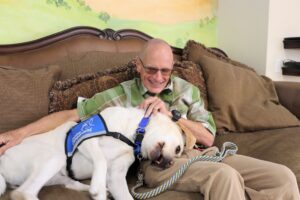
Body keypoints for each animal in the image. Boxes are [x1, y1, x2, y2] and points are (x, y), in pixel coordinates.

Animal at [0, 107, 185, 200]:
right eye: (178, 149)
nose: (169, 163)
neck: (133, 134)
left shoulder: (116, 177)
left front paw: (100, 190)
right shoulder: (84, 139)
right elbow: (101, 161)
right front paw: (97, 187)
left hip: (57, 174)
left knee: (68, 183)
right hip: (54, 157)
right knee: (22, 193)